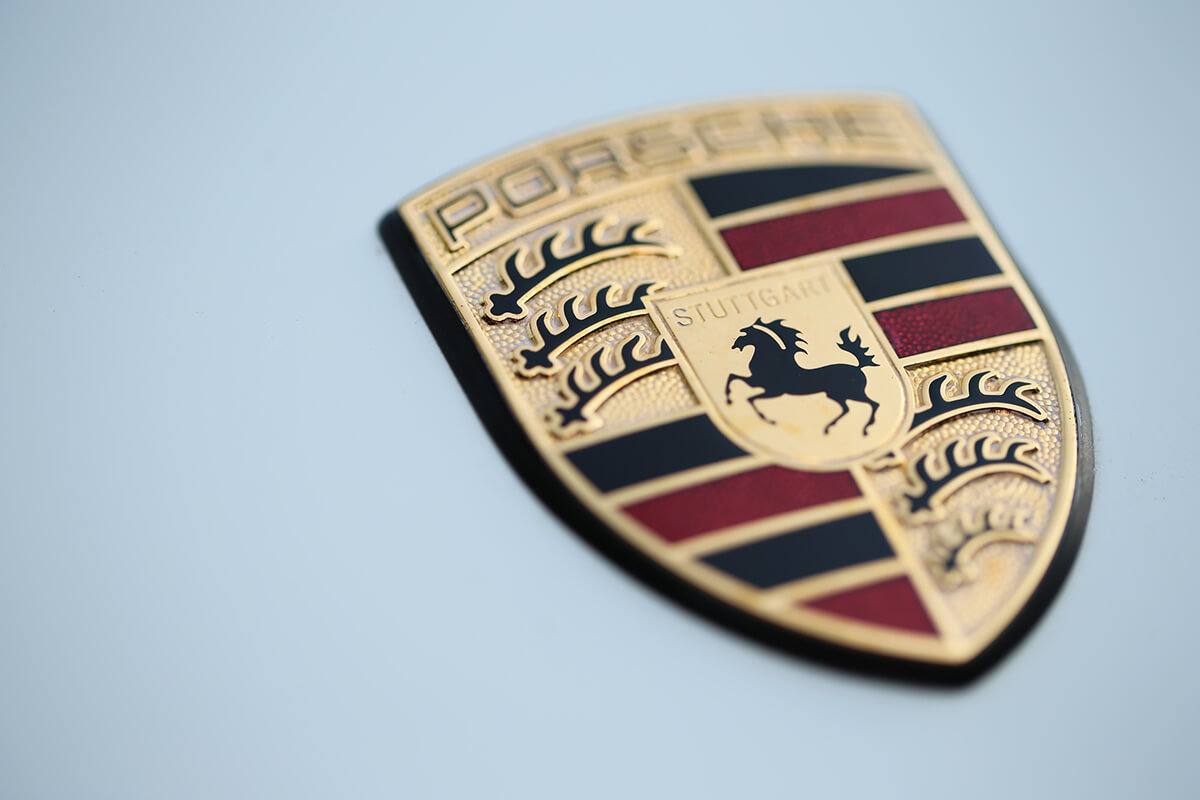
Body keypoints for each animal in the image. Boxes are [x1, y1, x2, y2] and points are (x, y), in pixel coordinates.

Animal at [723, 317, 881, 435]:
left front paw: (768, 419)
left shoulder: (775, 391)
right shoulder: (757, 383)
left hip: (851, 392)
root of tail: (858, 366)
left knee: (873, 404)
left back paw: (865, 429)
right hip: (837, 394)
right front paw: (729, 398)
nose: (735, 345)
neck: (774, 360)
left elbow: (749, 398)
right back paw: (829, 427)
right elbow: (732, 376)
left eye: (746, 334)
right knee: (848, 408)